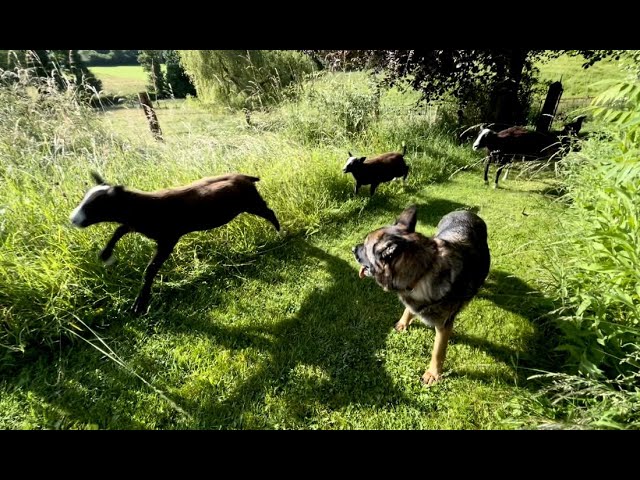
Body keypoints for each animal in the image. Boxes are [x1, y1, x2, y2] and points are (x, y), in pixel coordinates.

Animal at [69, 172, 280, 316]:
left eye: (95, 205)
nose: (73, 219)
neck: (143, 207)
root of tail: (245, 176)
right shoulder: (134, 225)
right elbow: (118, 231)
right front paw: (106, 255)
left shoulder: (168, 239)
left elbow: (150, 269)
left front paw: (140, 305)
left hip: (252, 203)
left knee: (269, 211)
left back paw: (279, 232)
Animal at [352, 206, 492, 386]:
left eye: (364, 246)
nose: (353, 249)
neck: (423, 272)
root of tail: (466, 211)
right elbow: (409, 309)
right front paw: (403, 323)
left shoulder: (444, 326)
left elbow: (438, 352)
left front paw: (433, 373)